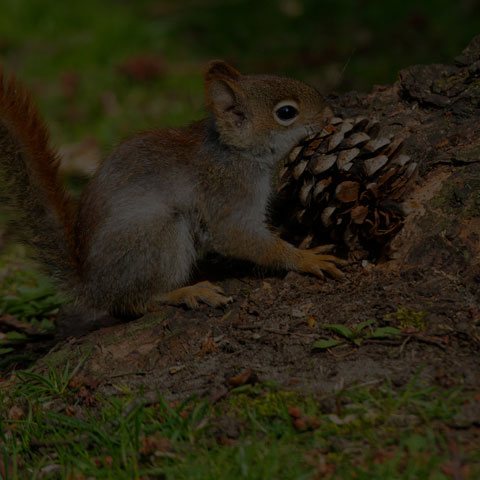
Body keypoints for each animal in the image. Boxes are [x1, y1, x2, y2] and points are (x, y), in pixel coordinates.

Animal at [0, 62, 344, 320]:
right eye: (286, 113)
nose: (330, 114)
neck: (234, 152)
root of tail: (93, 287)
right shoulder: (227, 195)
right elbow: (239, 237)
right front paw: (305, 259)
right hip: (158, 236)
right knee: (134, 302)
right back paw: (188, 291)